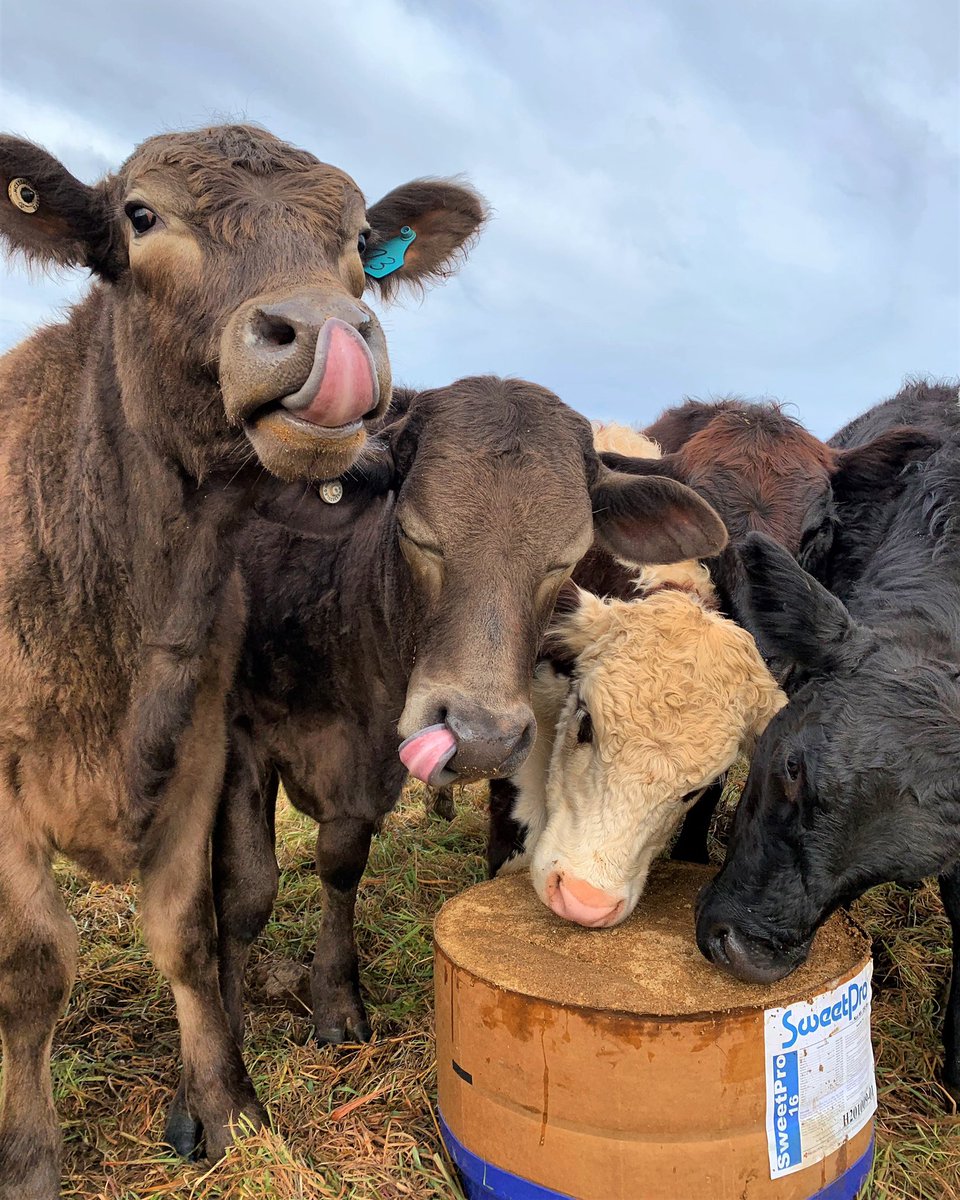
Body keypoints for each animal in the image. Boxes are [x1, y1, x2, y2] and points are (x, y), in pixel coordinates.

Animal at [0, 123, 484, 1197]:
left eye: (359, 240)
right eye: (141, 215)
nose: (323, 332)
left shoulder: (200, 752)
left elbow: (189, 929)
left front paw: (229, 1108)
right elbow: (32, 968)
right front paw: (28, 1157)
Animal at [186, 376, 726, 1137]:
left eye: (567, 559)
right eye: (416, 535)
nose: (481, 737)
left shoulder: (370, 763)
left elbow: (341, 867)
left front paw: (336, 1000)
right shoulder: (240, 739)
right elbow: (245, 893)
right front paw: (220, 1068)